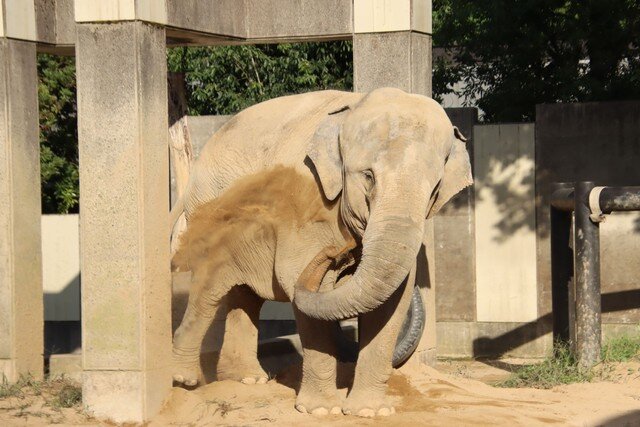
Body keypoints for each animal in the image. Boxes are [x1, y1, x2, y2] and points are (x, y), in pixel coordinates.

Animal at [170, 87, 472, 417]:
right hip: (209, 209)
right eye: (368, 176)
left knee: (244, 295)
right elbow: (297, 282)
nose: (343, 251)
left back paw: (247, 379)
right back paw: (186, 379)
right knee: (212, 287)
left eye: (435, 190)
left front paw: (369, 412)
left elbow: (395, 300)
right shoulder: (308, 201)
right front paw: (320, 411)